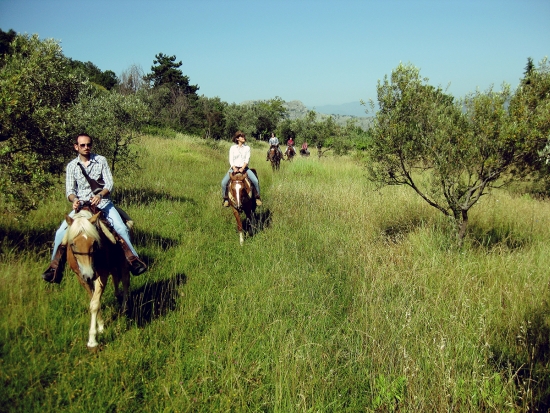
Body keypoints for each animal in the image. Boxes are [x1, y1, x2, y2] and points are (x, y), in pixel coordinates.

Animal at [64, 206, 130, 348]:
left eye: (94, 243)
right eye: (73, 244)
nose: (89, 274)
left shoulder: (102, 274)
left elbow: (94, 303)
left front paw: (92, 340)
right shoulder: (81, 278)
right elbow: (94, 299)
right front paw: (100, 326)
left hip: (123, 260)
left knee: (125, 280)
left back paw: (123, 308)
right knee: (115, 276)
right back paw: (117, 295)